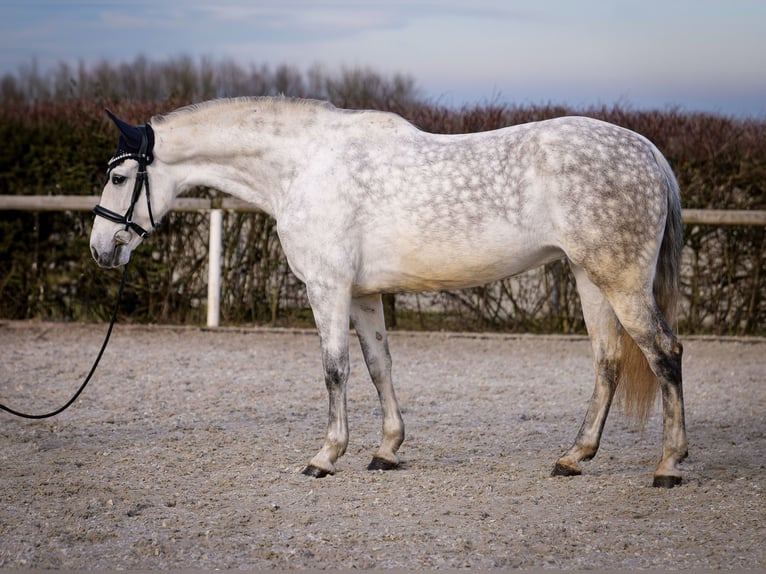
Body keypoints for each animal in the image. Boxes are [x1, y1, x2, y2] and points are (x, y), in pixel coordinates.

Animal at [90, 97, 688, 488]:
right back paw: (573, 457)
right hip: (591, 278)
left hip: (621, 281)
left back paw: (668, 465)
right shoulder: (362, 295)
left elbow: (335, 370)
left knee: (665, 353)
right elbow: (379, 367)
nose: (100, 248)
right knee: (608, 362)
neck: (303, 165)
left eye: (118, 178)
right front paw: (386, 450)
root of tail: (648, 152)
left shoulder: (327, 288)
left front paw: (326, 456)